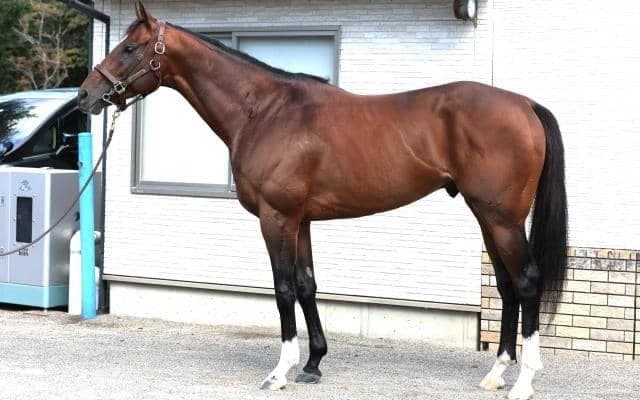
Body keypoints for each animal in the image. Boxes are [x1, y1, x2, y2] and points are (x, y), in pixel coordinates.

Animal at [77, 3, 567, 399]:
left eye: (129, 48)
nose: (85, 96)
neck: (264, 112)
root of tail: (524, 105)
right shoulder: (302, 221)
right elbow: (307, 285)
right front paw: (313, 364)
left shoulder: (276, 218)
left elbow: (283, 289)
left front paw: (280, 372)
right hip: (487, 216)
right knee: (505, 285)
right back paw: (496, 373)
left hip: (501, 218)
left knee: (526, 282)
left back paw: (524, 381)